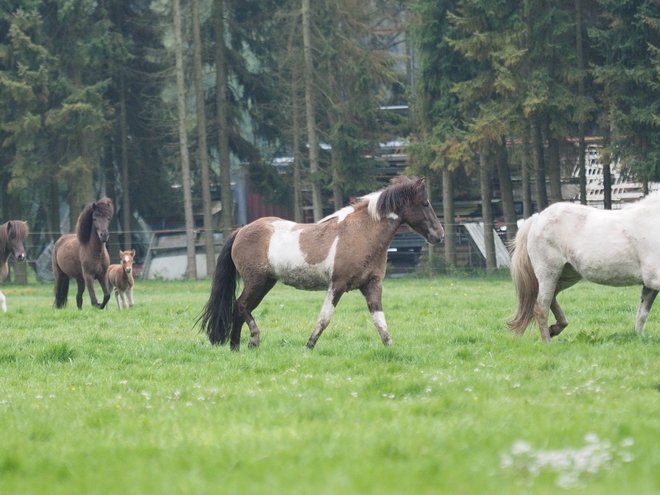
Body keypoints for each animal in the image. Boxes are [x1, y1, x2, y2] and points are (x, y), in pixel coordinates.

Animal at [196, 176, 444, 350]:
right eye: (425, 203)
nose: (439, 235)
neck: (361, 233)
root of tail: (240, 231)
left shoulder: (372, 285)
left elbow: (379, 320)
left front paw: (390, 347)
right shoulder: (337, 285)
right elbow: (325, 318)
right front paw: (309, 345)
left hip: (266, 283)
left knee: (241, 308)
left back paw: (236, 346)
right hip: (255, 281)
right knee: (241, 306)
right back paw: (252, 340)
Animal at [510, 193, 660, 340]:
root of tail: (536, 219)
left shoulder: (649, 285)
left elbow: (642, 314)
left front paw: (639, 338)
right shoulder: (653, 279)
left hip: (567, 276)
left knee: (551, 298)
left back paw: (555, 329)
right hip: (549, 273)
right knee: (541, 307)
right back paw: (547, 341)